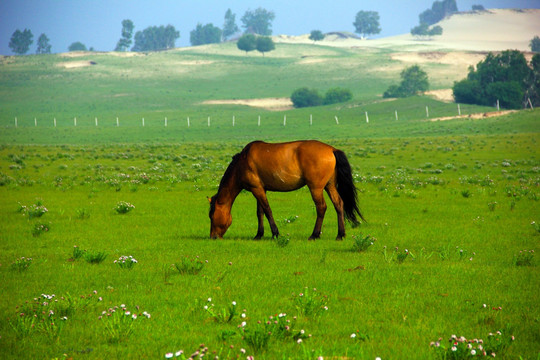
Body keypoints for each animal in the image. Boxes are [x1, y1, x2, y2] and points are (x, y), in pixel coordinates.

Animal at [209, 140, 364, 239]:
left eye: (211, 215)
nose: (213, 237)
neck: (243, 162)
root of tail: (332, 150)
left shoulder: (256, 189)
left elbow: (267, 210)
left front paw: (275, 233)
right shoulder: (260, 189)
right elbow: (260, 212)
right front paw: (259, 235)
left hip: (316, 188)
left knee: (321, 207)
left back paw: (314, 235)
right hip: (329, 186)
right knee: (339, 204)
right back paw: (340, 234)